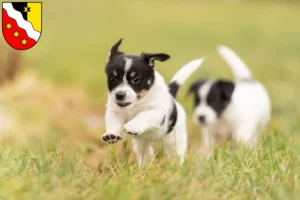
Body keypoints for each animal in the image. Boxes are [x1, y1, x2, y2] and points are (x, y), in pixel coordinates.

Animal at [101, 38, 204, 166]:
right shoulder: (114, 111)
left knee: (176, 153)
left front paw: (132, 125)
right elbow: (112, 121)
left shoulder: (157, 112)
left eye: (136, 79)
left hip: (175, 140)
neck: (135, 104)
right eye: (113, 78)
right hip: (142, 144)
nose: (119, 95)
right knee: (144, 155)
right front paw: (111, 134)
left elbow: (143, 114)